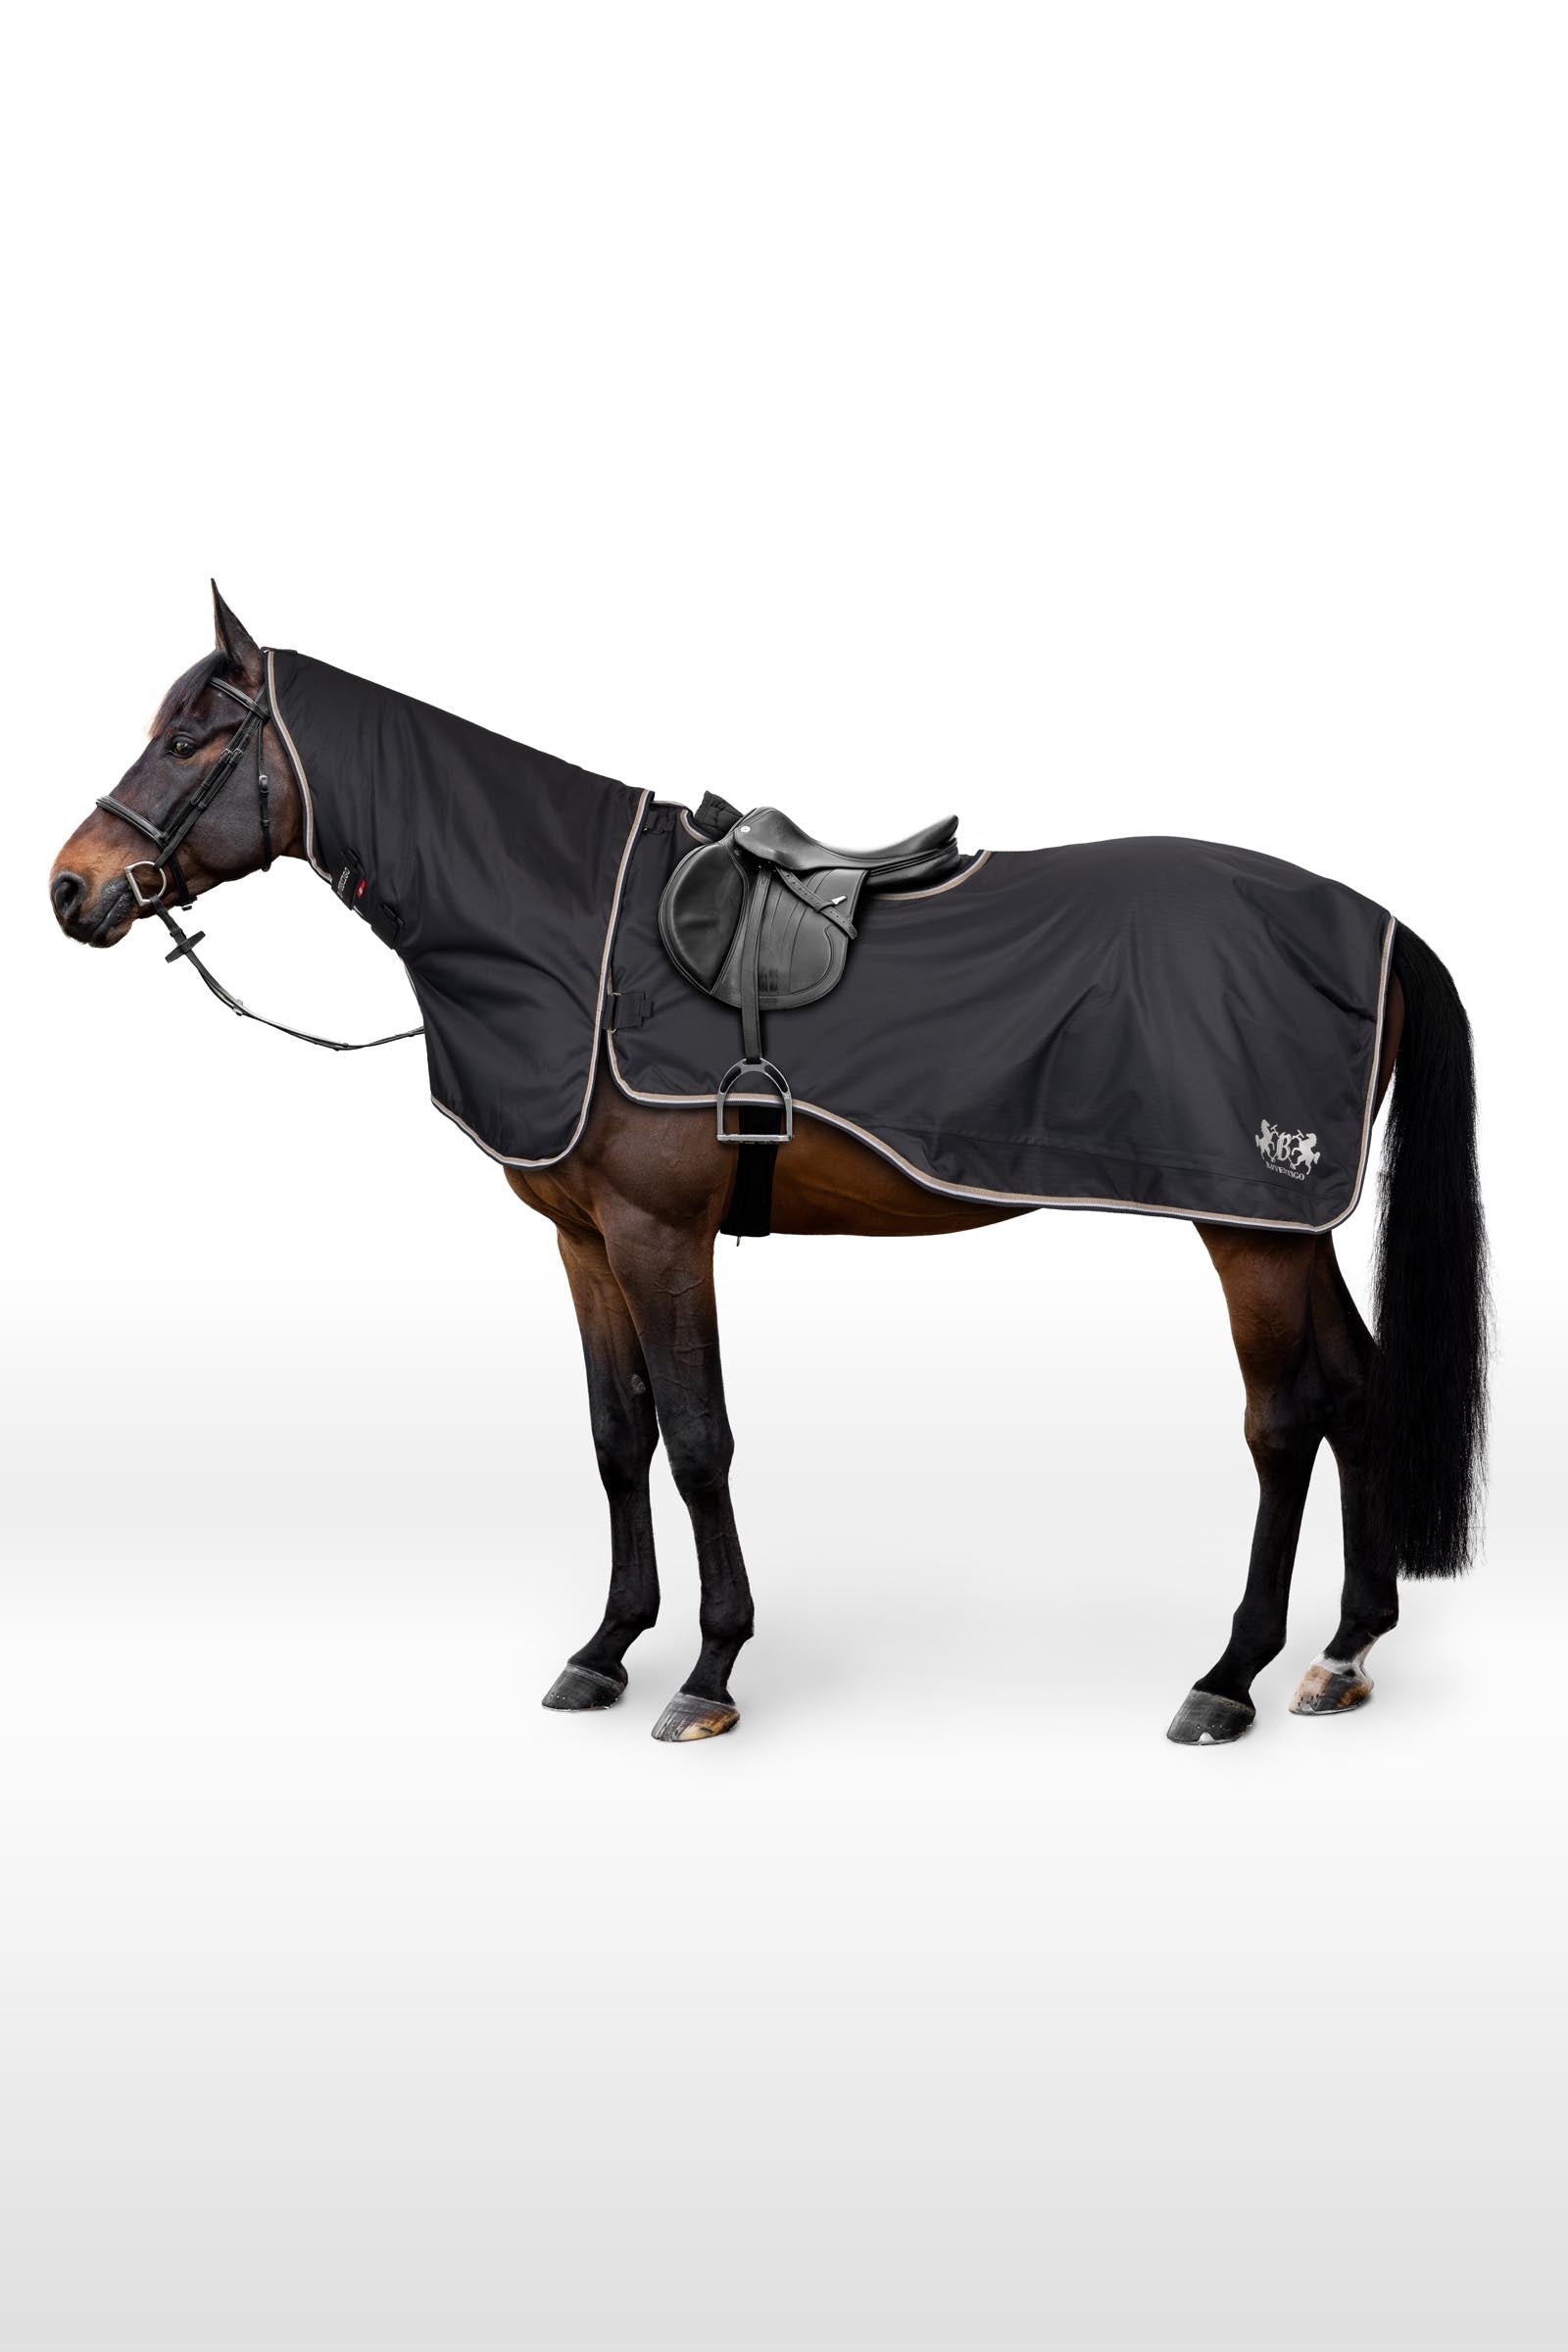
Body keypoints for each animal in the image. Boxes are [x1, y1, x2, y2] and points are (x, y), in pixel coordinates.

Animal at [49, 590, 1488, 1745]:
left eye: (194, 738)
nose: (72, 889)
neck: (576, 934)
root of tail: (1376, 924)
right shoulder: (583, 1241)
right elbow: (616, 1436)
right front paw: (605, 1649)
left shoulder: (659, 1232)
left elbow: (698, 1442)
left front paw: (709, 1671)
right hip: (1288, 1228)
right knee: (1355, 1391)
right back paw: (1344, 1653)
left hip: (1250, 1226)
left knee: (1283, 1420)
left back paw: (1231, 1675)